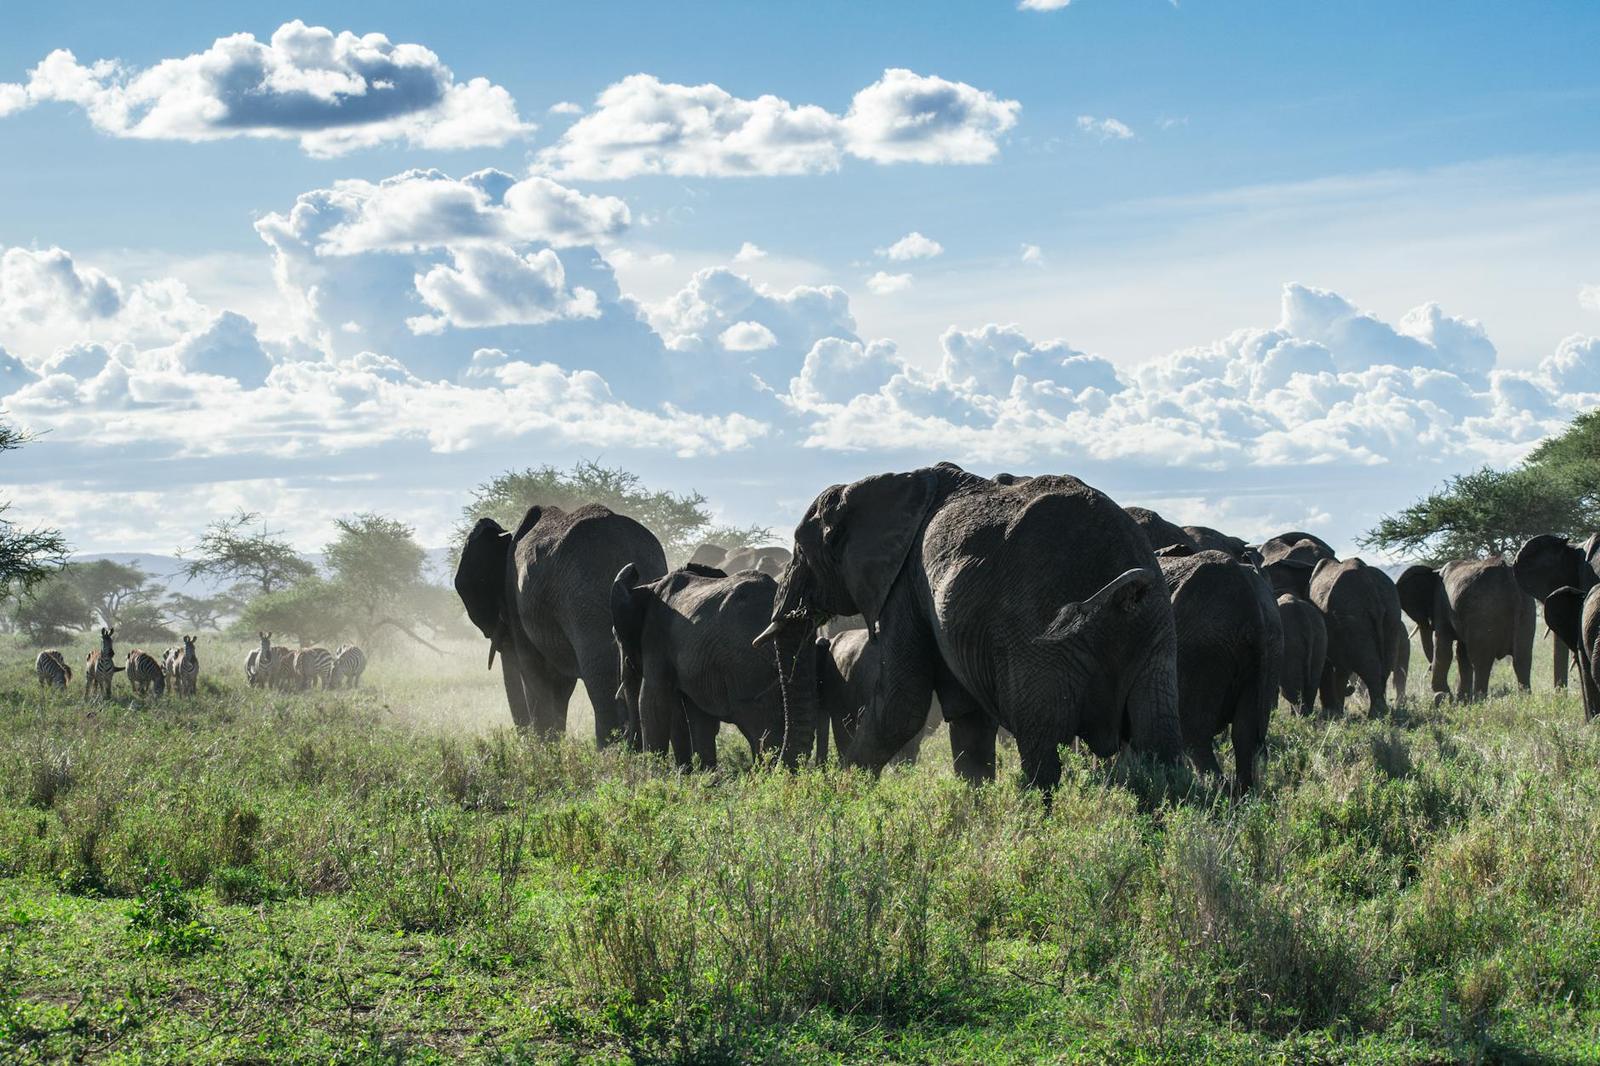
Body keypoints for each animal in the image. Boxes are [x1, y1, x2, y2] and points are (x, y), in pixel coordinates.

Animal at [456, 504, 668, 743]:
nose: (522, 740)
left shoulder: (516, 601)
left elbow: (535, 672)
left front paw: (544, 747)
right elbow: (560, 685)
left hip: (584, 602)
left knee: (599, 678)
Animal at [611, 563, 817, 769]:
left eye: (617, 638)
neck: (650, 587)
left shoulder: (655, 637)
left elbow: (651, 702)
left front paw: (653, 774)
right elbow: (700, 718)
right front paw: (705, 774)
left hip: (748, 667)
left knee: (763, 729)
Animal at [1158, 550, 1279, 791]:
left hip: (1200, 649)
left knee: (1194, 734)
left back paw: (1212, 791)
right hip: (1271, 645)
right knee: (1245, 734)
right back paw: (1244, 793)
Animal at [1310, 558, 1408, 716]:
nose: (1351, 689)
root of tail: (1370, 587)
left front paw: (1335, 713)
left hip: (1352, 616)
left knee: (1369, 667)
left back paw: (1376, 714)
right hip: (1392, 612)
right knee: (1385, 666)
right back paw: (1381, 712)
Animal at [1396, 558, 1534, 700]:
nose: (1428, 669)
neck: (1434, 571)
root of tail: (1508, 576)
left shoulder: (1442, 606)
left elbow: (1443, 648)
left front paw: (1442, 696)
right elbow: (1461, 653)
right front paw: (1461, 700)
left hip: (1483, 612)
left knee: (1481, 661)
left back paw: (1479, 700)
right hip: (1526, 608)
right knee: (1522, 659)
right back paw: (1524, 699)